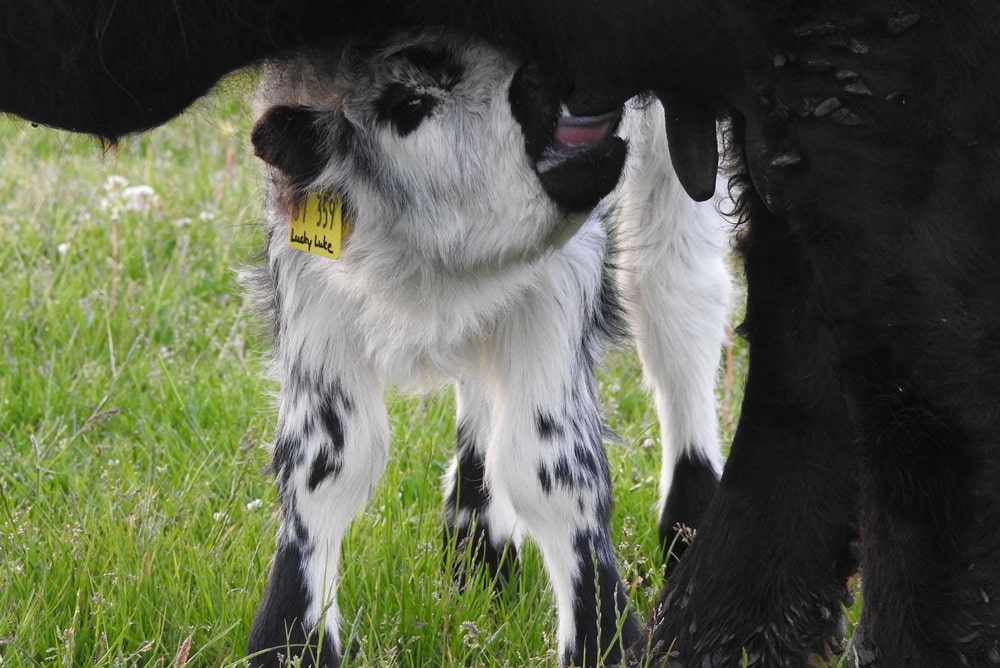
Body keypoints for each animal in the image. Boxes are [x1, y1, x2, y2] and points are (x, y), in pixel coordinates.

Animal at [242, 27, 728, 668]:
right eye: (409, 104)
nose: (565, 83)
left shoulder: (567, 261)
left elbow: (549, 463)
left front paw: (602, 640)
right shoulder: (308, 255)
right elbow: (326, 458)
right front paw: (291, 643)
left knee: (676, 289)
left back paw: (690, 530)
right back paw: (478, 543)